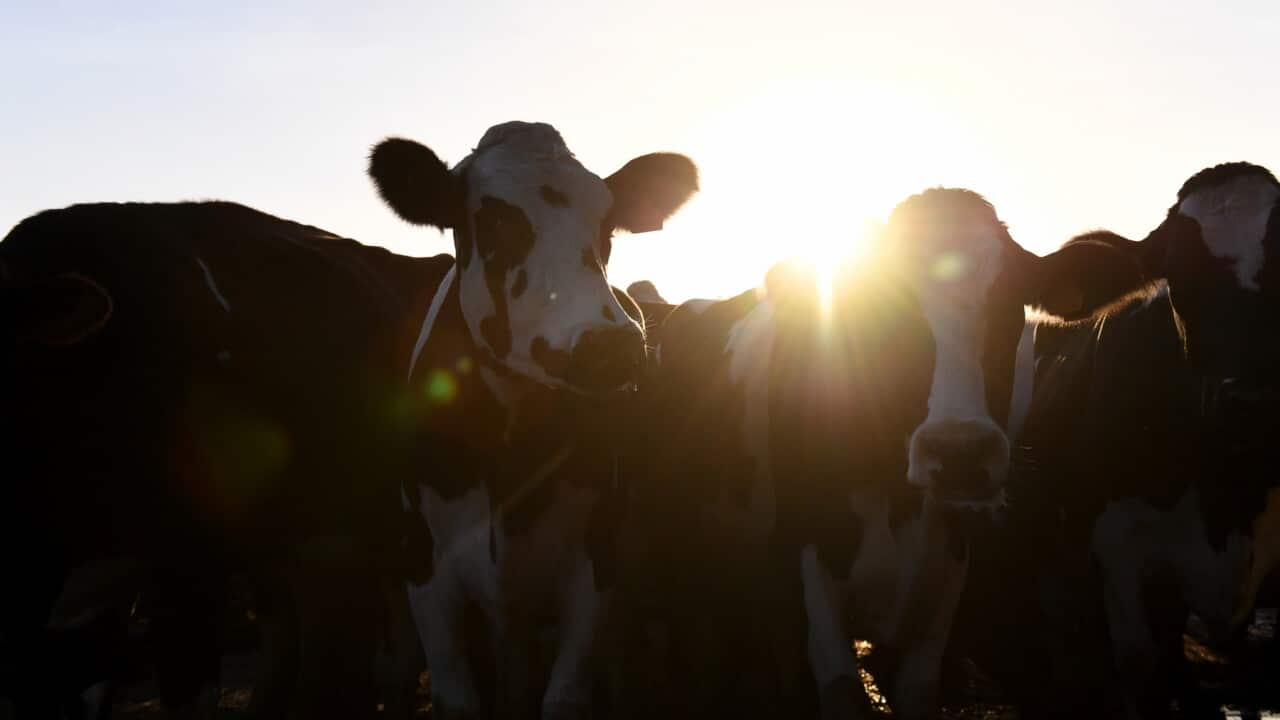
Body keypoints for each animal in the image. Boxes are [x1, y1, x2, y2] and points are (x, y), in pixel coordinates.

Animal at [621, 188, 1147, 719]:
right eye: (880, 309)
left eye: (1009, 303)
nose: (959, 451)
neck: (896, 495)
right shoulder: (808, 560)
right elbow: (840, 690)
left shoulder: (947, 568)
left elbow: (918, 686)